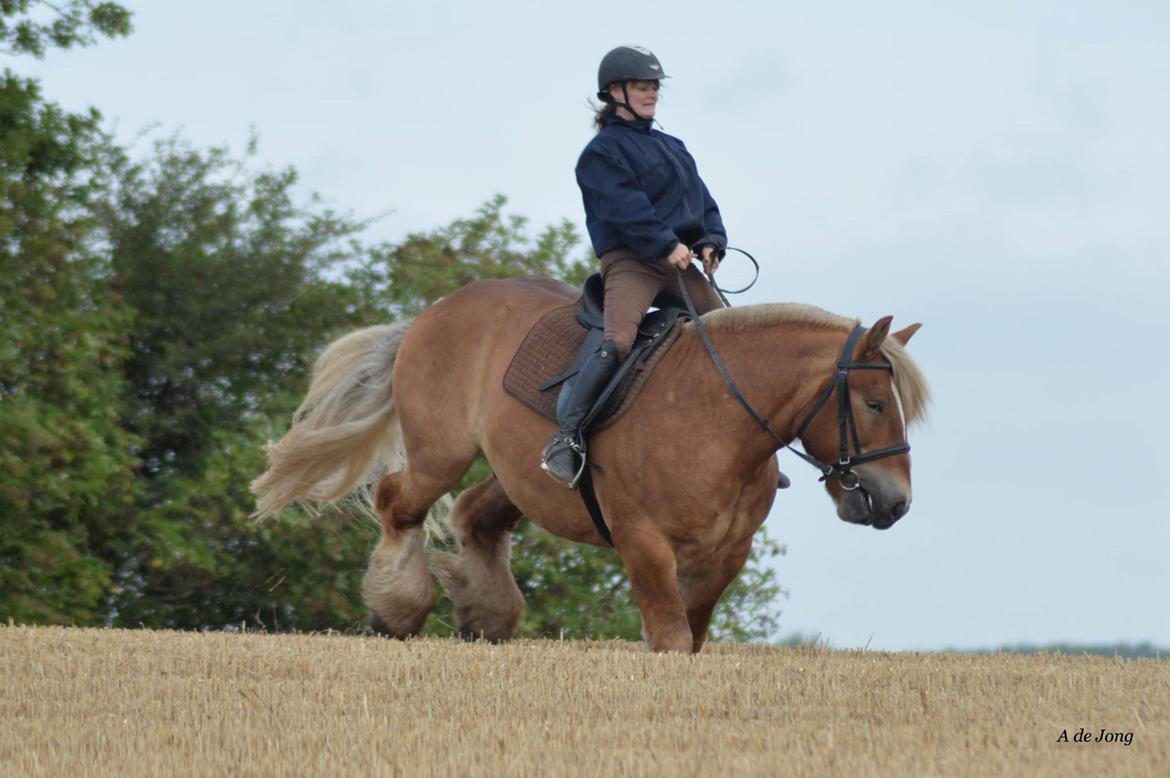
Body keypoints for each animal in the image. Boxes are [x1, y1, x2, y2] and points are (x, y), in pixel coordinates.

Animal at [251, 276, 926, 650]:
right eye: (872, 403)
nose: (896, 504)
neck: (716, 419)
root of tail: (434, 311)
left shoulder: (725, 556)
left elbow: (694, 637)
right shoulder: (643, 543)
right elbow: (671, 638)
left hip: (517, 475)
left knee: (475, 516)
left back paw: (485, 617)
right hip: (441, 453)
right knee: (398, 502)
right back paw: (397, 608)